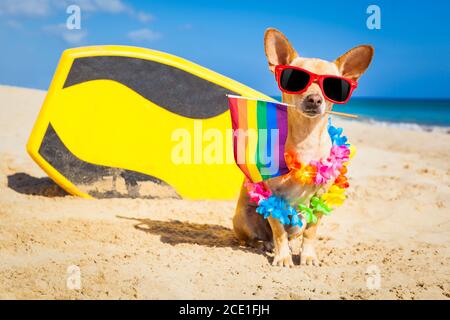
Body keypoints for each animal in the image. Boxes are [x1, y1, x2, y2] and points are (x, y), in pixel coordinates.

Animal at [232, 28, 372, 268]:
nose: (314, 99)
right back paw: (265, 244)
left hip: (298, 219)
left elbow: (311, 231)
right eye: (296, 79)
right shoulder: (272, 196)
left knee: (293, 233)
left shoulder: (320, 199)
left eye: (333, 86)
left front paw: (307, 256)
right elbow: (278, 229)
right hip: (244, 217)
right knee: (257, 237)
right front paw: (283, 257)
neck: (306, 138)